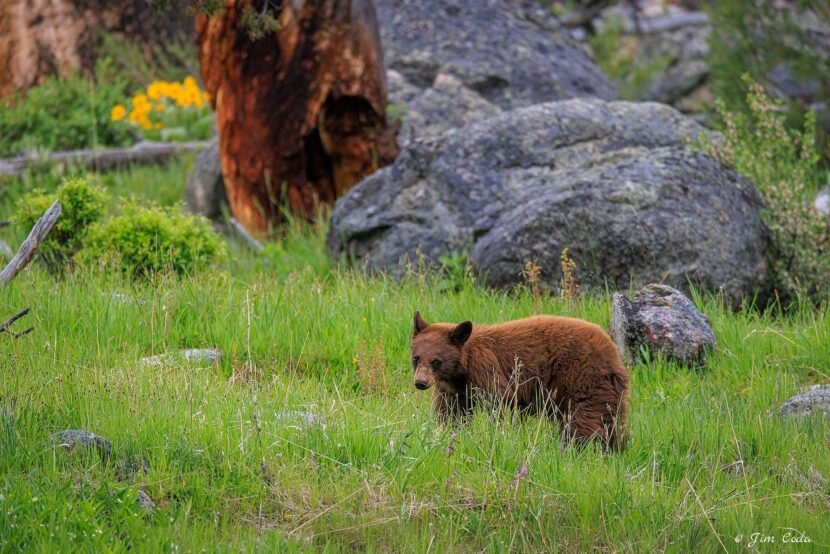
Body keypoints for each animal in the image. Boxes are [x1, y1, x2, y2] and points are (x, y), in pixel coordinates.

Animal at [410, 311, 630, 450]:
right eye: (416, 358)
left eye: (436, 361)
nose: (420, 383)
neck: (462, 370)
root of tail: (613, 349)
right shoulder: (452, 390)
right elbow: (451, 414)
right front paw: (445, 435)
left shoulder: (489, 373)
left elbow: (498, 407)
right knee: (610, 419)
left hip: (582, 377)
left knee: (584, 418)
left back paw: (579, 448)